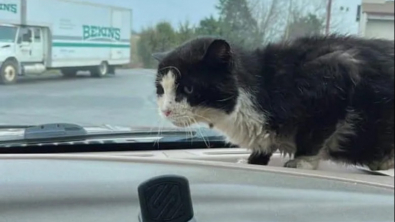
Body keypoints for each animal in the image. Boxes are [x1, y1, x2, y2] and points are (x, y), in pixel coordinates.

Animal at [153, 34, 394, 171]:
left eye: (189, 89)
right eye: (161, 90)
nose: (165, 111)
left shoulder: (333, 76)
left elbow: (313, 135)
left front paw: (302, 162)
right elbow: (263, 145)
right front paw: (253, 160)